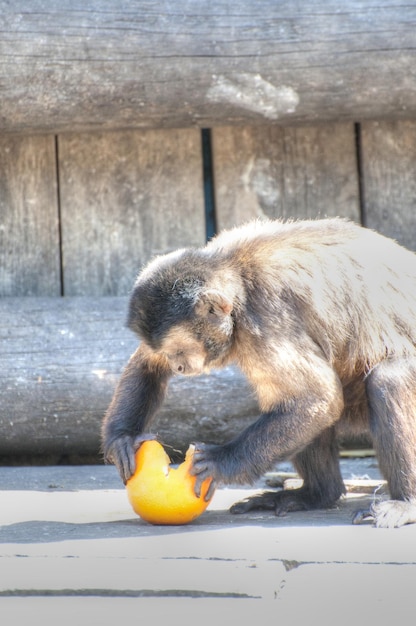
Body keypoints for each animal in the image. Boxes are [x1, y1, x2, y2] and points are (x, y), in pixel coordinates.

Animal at [102, 217, 416, 524]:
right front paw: (123, 439)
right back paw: (317, 495)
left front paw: (220, 461)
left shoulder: (263, 315)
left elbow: (316, 398)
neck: (236, 273)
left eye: (179, 350)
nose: (177, 364)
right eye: (168, 352)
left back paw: (406, 502)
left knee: (386, 382)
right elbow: (147, 365)